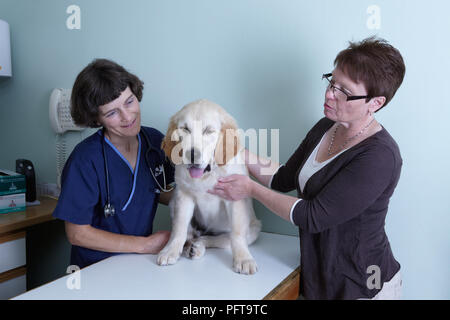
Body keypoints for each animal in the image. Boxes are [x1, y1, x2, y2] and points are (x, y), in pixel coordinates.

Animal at [157, 99, 260, 274]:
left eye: (208, 131)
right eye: (185, 129)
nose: (192, 155)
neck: (208, 175)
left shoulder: (235, 196)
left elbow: (237, 234)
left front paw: (243, 259)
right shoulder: (183, 195)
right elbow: (179, 228)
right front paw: (170, 250)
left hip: (253, 230)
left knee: (217, 238)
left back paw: (197, 246)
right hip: (173, 202)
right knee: (191, 233)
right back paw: (190, 245)